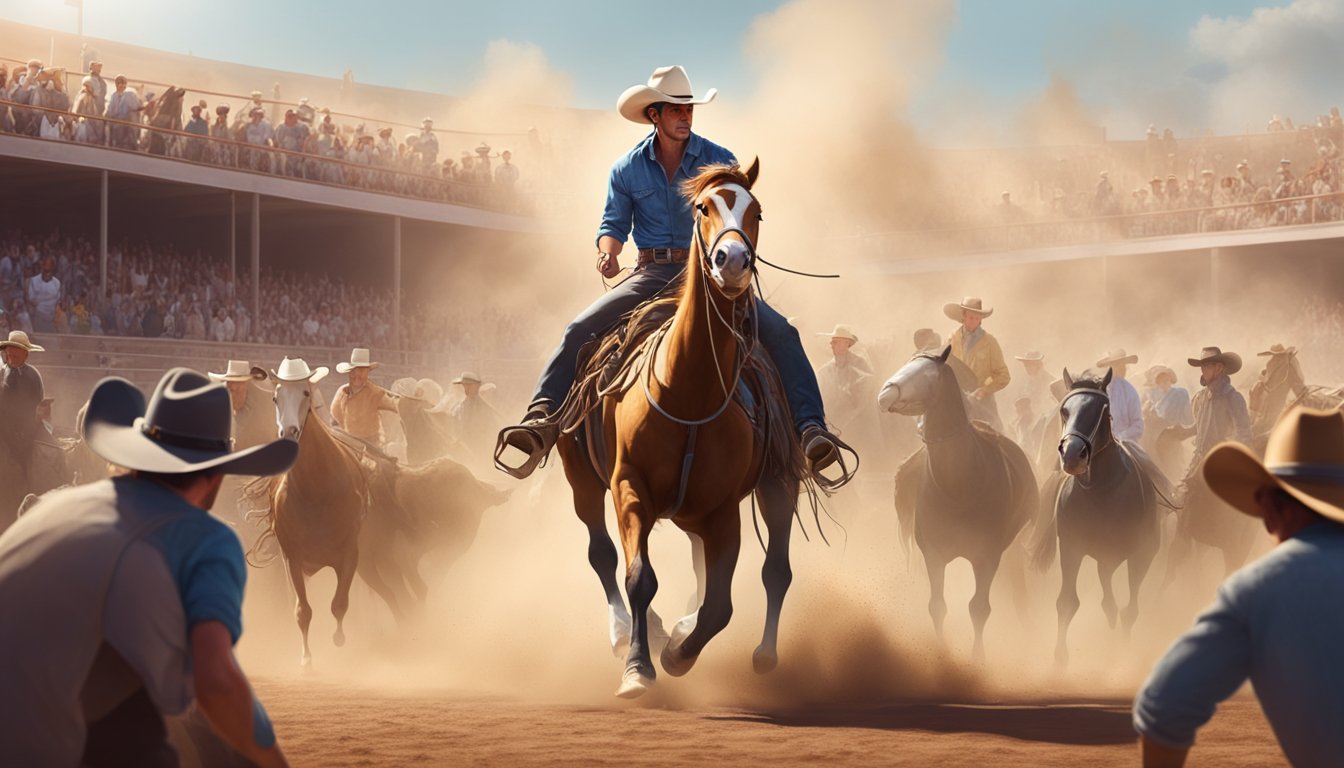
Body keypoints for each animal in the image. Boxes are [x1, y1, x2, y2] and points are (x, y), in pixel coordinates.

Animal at [553, 162, 801, 699]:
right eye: (703, 207)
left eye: (756, 211)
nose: (732, 262)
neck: (688, 392)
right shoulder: (629, 487)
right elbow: (639, 578)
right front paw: (638, 667)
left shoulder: (723, 509)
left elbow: (720, 605)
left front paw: (677, 653)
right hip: (581, 477)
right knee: (602, 554)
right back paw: (623, 632)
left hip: (775, 484)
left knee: (774, 570)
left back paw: (760, 653)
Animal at [881, 349, 1037, 661]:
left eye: (927, 374)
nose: (884, 394)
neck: (960, 485)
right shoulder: (933, 554)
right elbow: (937, 606)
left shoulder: (987, 556)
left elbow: (978, 608)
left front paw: (978, 659)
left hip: (1012, 549)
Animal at [1026, 371, 1166, 667]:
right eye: (1064, 410)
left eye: (1101, 410)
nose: (1072, 455)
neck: (1102, 491)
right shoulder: (1071, 547)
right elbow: (1067, 602)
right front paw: (1059, 659)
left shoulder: (1141, 554)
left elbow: (1130, 610)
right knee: (1105, 583)